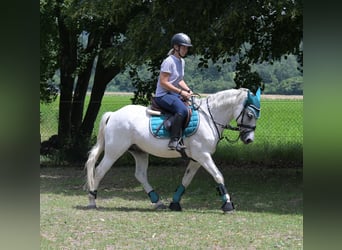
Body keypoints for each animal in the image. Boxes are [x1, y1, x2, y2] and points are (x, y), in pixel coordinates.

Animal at [86, 87, 262, 212]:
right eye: (250, 114)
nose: (249, 139)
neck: (210, 118)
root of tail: (113, 114)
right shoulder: (203, 156)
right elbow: (218, 176)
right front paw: (228, 205)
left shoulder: (197, 159)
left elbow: (186, 180)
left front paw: (175, 203)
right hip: (114, 152)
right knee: (99, 171)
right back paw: (92, 201)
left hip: (139, 152)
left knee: (140, 175)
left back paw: (157, 202)